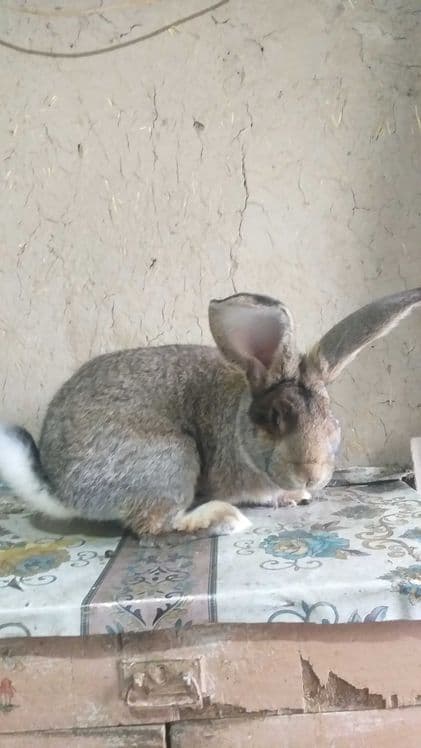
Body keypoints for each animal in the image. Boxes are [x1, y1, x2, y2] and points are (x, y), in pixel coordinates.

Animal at [0, 287, 420, 537]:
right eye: (276, 418)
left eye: (330, 416)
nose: (311, 475)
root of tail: (60, 490)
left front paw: (295, 496)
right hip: (173, 459)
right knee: (157, 523)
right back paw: (222, 518)